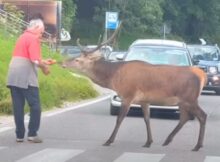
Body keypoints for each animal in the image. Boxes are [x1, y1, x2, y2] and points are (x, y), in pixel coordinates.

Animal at [61, 24, 206, 152]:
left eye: (78, 60)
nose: (62, 63)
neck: (114, 78)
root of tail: (202, 75)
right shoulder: (144, 100)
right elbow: (147, 119)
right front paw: (148, 142)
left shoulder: (127, 95)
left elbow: (119, 119)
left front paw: (109, 141)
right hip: (183, 101)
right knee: (185, 117)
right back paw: (167, 140)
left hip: (190, 98)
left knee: (202, 115)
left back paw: (197, 146)